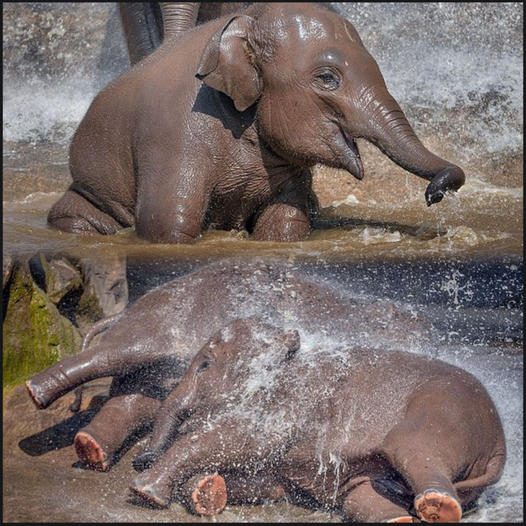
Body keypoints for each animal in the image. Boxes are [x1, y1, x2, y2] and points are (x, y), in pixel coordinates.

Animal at [49, 2, 466, 244]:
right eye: (327, 78)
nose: (435, 194)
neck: (248, 24)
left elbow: (285, 223)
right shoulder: (174, 135)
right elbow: (166, 223)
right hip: (90, 191)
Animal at [129, 318, 508, 524]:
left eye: (205, 366)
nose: (138, 458)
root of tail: (499, 447)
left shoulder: (292, 398)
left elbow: (247, 442)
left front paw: (144, 492)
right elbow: (270, 481)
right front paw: (206, 489)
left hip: (439, 413)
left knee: (410, 450)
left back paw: (436, 506)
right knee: (360, 497)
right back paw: (402, 515)